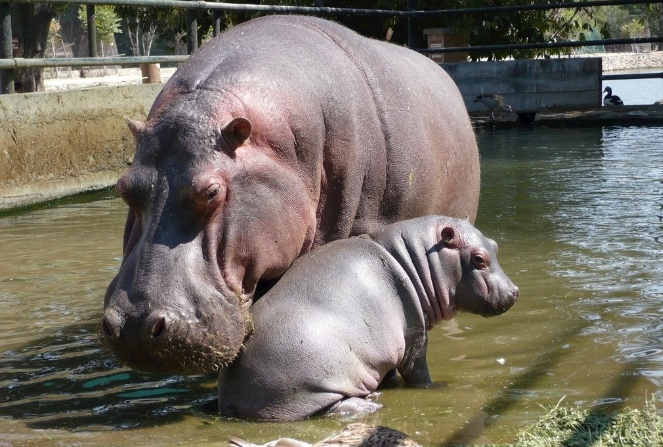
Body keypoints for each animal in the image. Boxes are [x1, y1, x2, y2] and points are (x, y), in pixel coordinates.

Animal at [218, 215, 520, 422]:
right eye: (479, 258)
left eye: (494, 246)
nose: (515, 291)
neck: (417, 257)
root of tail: (228, 396)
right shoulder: (415, 333)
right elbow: (417, 369)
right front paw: (433, 387)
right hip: (312, 381)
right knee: (328, 407)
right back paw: (372, 404)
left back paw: (373, 395)